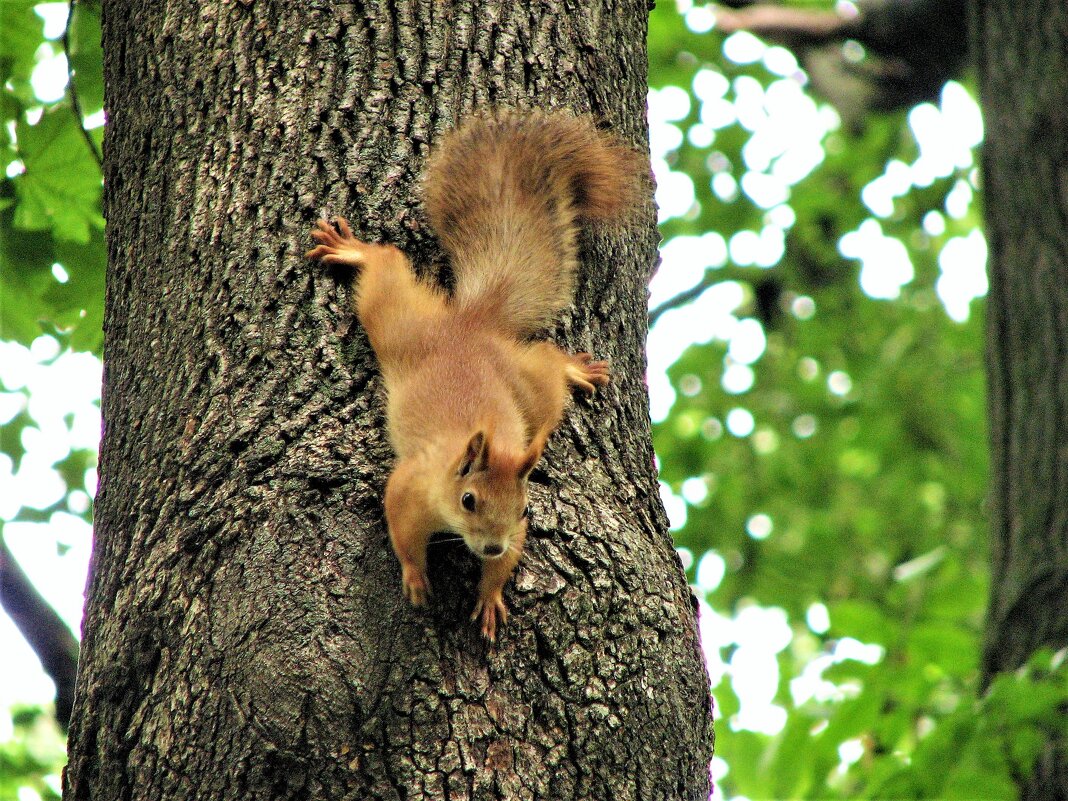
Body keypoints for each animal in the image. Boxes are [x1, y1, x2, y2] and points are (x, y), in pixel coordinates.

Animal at [307, 111, 640, 640]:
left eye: (524, 509)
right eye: (468, 500)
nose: (491, 546)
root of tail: (471, 324)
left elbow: (505, 567)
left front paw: (489, 595)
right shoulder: (410, 484)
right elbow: (400, 530)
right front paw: (416, 576)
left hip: (528, 388)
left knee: (546, 363)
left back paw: (571, 366)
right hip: (398, 324)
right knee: (386, 265)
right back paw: (353, 250)